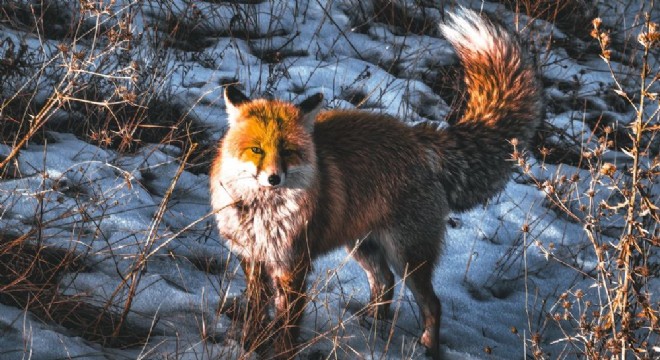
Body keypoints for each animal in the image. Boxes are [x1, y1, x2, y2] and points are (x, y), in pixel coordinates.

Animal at [210, 7, 540, 358]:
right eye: (256, 150)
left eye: (288, 151)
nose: (274, 178)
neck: (263, 217)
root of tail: (418, 136)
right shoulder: (253, 261)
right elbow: (256, 314)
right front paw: (248, 345)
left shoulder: (295, 266)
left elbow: (287, 327)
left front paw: (278, 351)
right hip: (362, 246)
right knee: (385, 283)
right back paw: (370, 326)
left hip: (406, 256)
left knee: (431, 304)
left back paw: (427, 346)